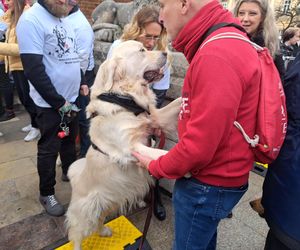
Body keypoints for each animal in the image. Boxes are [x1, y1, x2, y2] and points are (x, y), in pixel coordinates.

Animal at [65, 40, 180, 249]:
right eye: (142, 50)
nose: (166, 53)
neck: (125, 101)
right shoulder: (129, 148)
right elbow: (158, 153)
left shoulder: (157, 117)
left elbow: (175, 103)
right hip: (86, 211)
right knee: (76, 233)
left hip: (109, 198)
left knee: (100, 218)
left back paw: (104, 231)